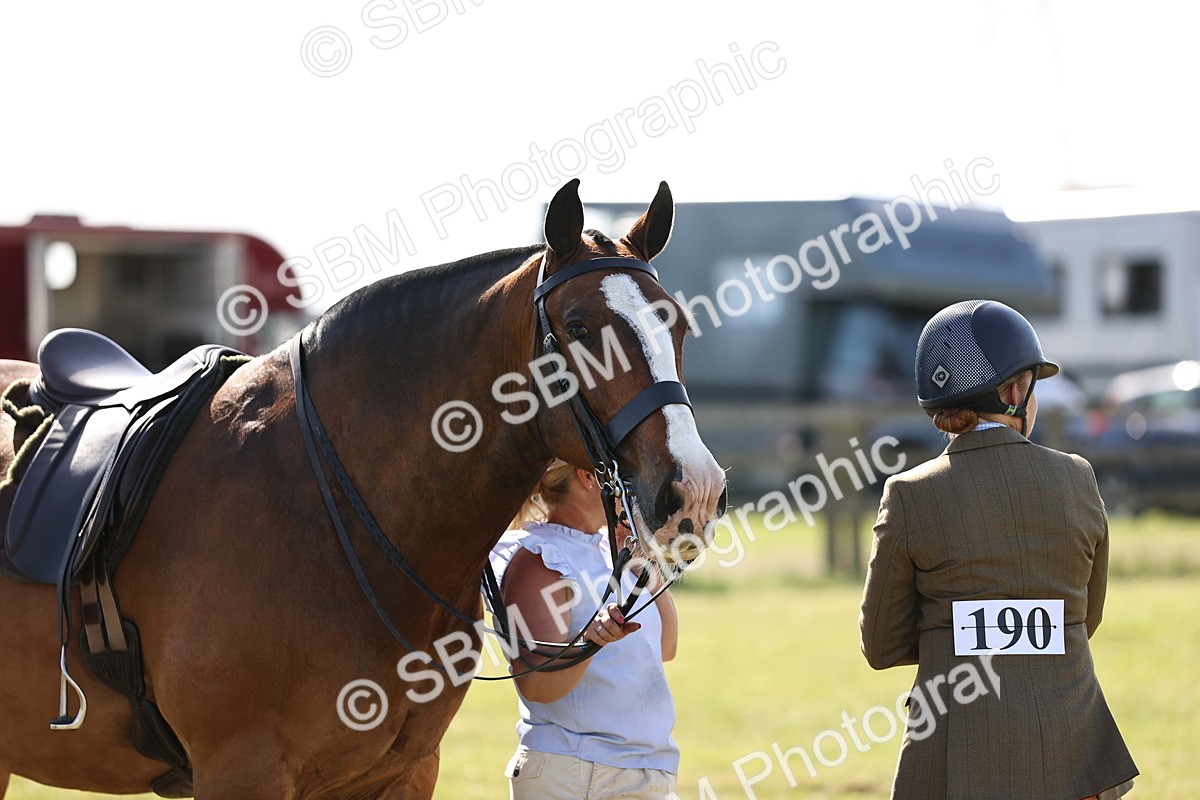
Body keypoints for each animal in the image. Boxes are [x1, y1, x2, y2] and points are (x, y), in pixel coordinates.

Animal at [0, 179, 728, 799]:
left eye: (678, 325)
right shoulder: (242, 770)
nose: (693, 490)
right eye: (578, 329)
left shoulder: (401, 771)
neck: (332, 514)